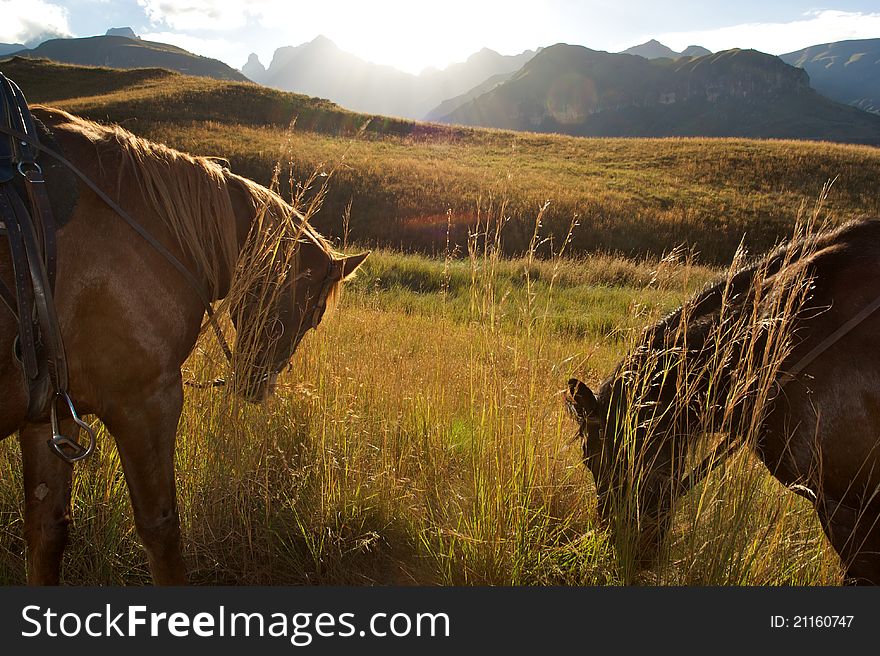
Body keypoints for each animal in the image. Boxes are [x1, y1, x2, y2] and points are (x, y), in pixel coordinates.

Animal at [0, 106, 368, 584]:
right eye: (315, 313)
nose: (257, 386)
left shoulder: (51, 415)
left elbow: (47, 532)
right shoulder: (146, 403)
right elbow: (162, 531)